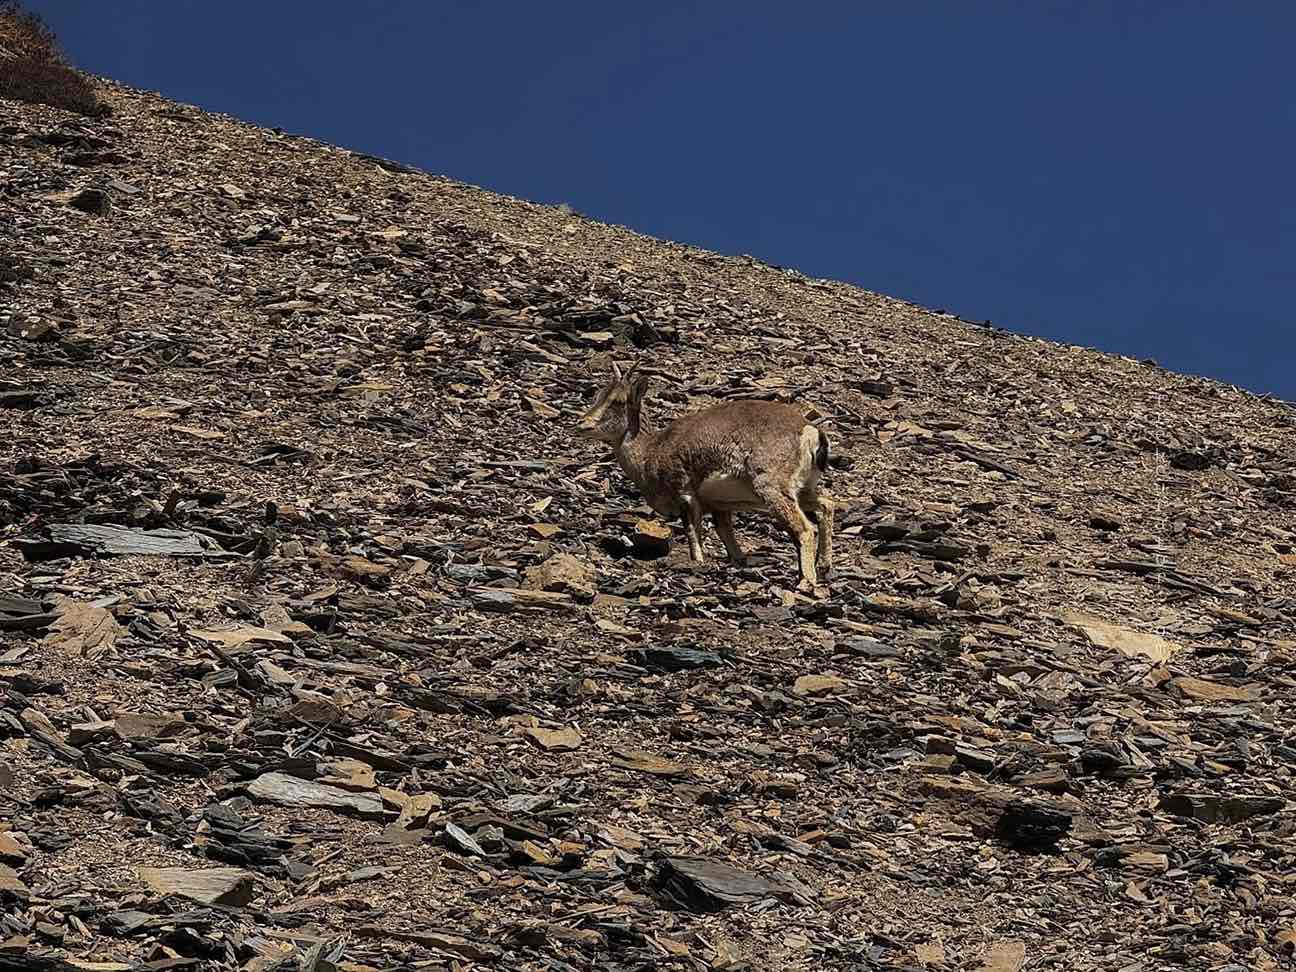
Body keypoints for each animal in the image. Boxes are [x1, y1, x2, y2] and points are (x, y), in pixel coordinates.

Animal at [576, 363, 834, 592]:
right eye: (599, 395)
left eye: (618, 401)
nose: (582, 424)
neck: (652, 450)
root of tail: (812, 433)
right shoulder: (720, 506)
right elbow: (727, 538)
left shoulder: (685, 494)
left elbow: (693, 534)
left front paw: (697, 564)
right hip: (802, 490)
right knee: (826, 504)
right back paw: (824, 566)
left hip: (771, 487)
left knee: (804, 528)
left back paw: (806, 581)